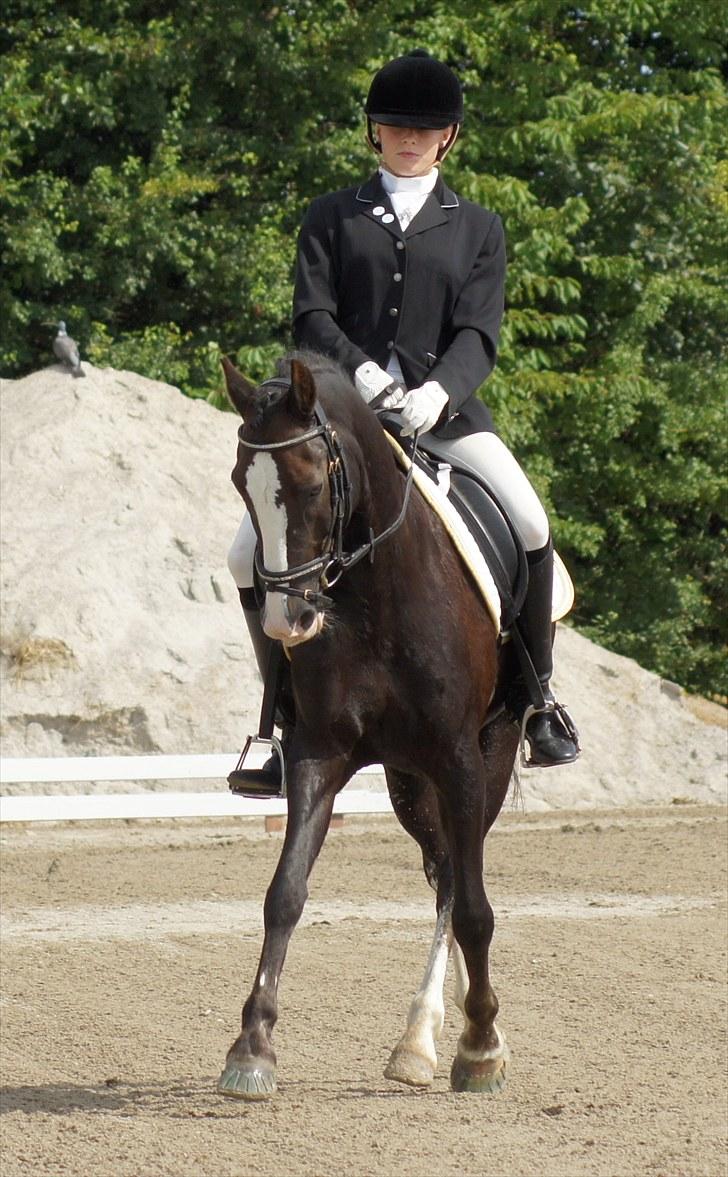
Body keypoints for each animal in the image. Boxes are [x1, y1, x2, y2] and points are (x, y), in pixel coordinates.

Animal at [218, 350, 520, 1099]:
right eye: (243, 484)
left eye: (311, 482)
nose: (288, 620)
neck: (378, 595)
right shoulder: (317, 753)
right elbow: (285, 893)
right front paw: (253, 1046)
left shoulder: (462, 759)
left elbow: (474, 907)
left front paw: (481, 1046)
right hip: (409, 782)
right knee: (444, 868)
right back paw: (427, 1034)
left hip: (489, 758)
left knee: (458, 883)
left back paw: (453, 1033)